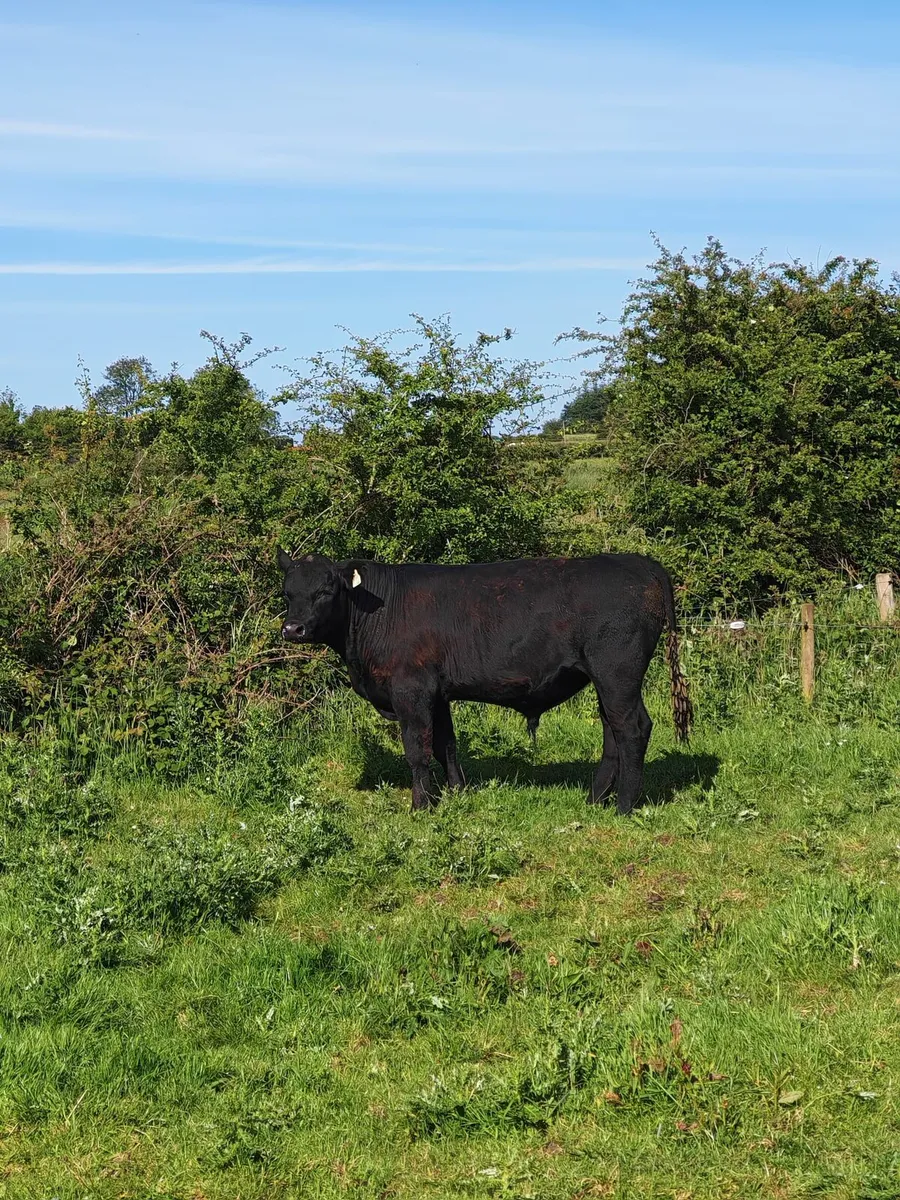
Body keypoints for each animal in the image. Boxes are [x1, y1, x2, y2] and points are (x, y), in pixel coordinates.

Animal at [278, 551, 692, 816]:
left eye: (326, 590)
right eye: (287, 592)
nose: (292, 628)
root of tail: (639, 562)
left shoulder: (411, 690)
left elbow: (417, 749)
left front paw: (421, 806)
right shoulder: (437, 692)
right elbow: (445, 744)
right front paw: (457, 793)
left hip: (617, 671)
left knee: (632, 729)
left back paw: (624, 806)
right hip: (605, 678)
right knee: (612, 729)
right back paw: (595, 799)